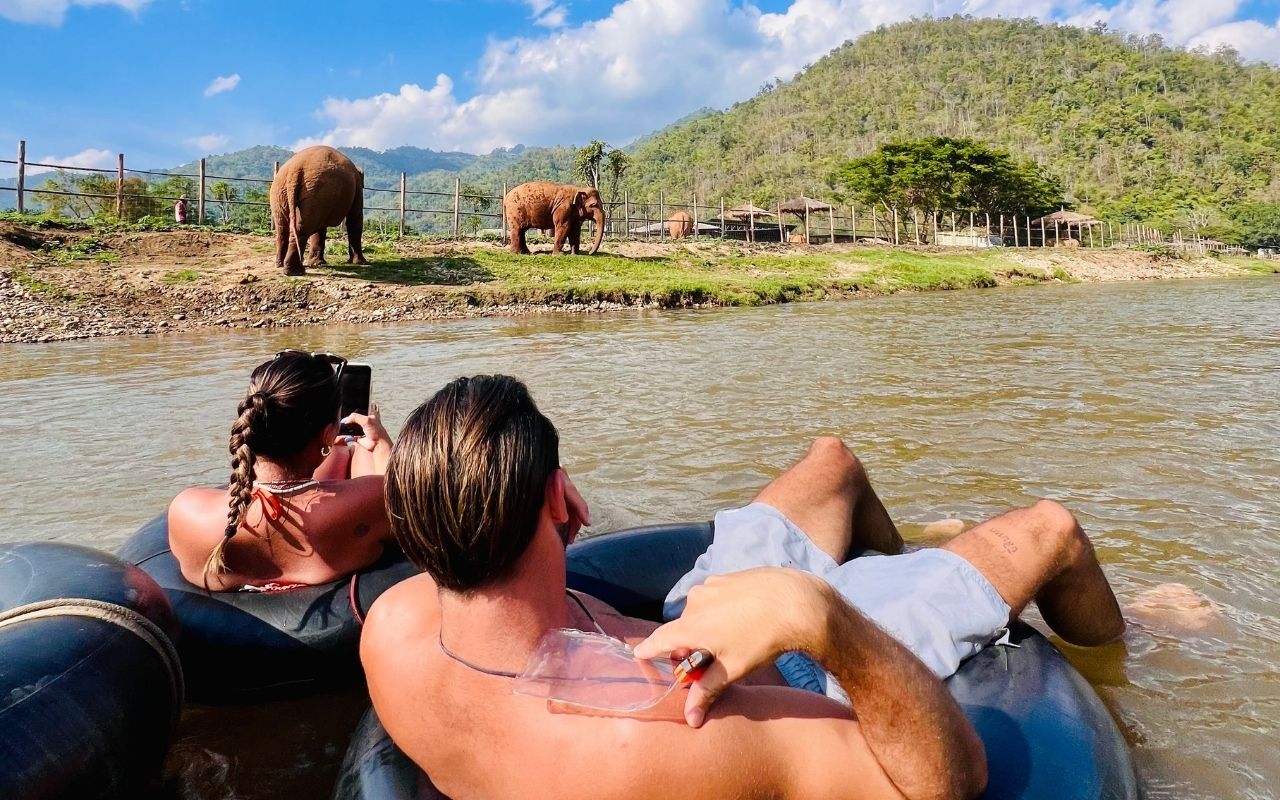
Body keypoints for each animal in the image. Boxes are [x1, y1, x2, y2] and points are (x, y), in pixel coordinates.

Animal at [270, 145, 368, 276]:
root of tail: (295, 169)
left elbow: (321, 227)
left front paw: (317, 263)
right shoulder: (356, 189)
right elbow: (354, 219)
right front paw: (361, 262)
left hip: (284, 193)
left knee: (283, 228)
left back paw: (281, 265)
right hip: (316, 191)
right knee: (303, 228)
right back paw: (295, 271)